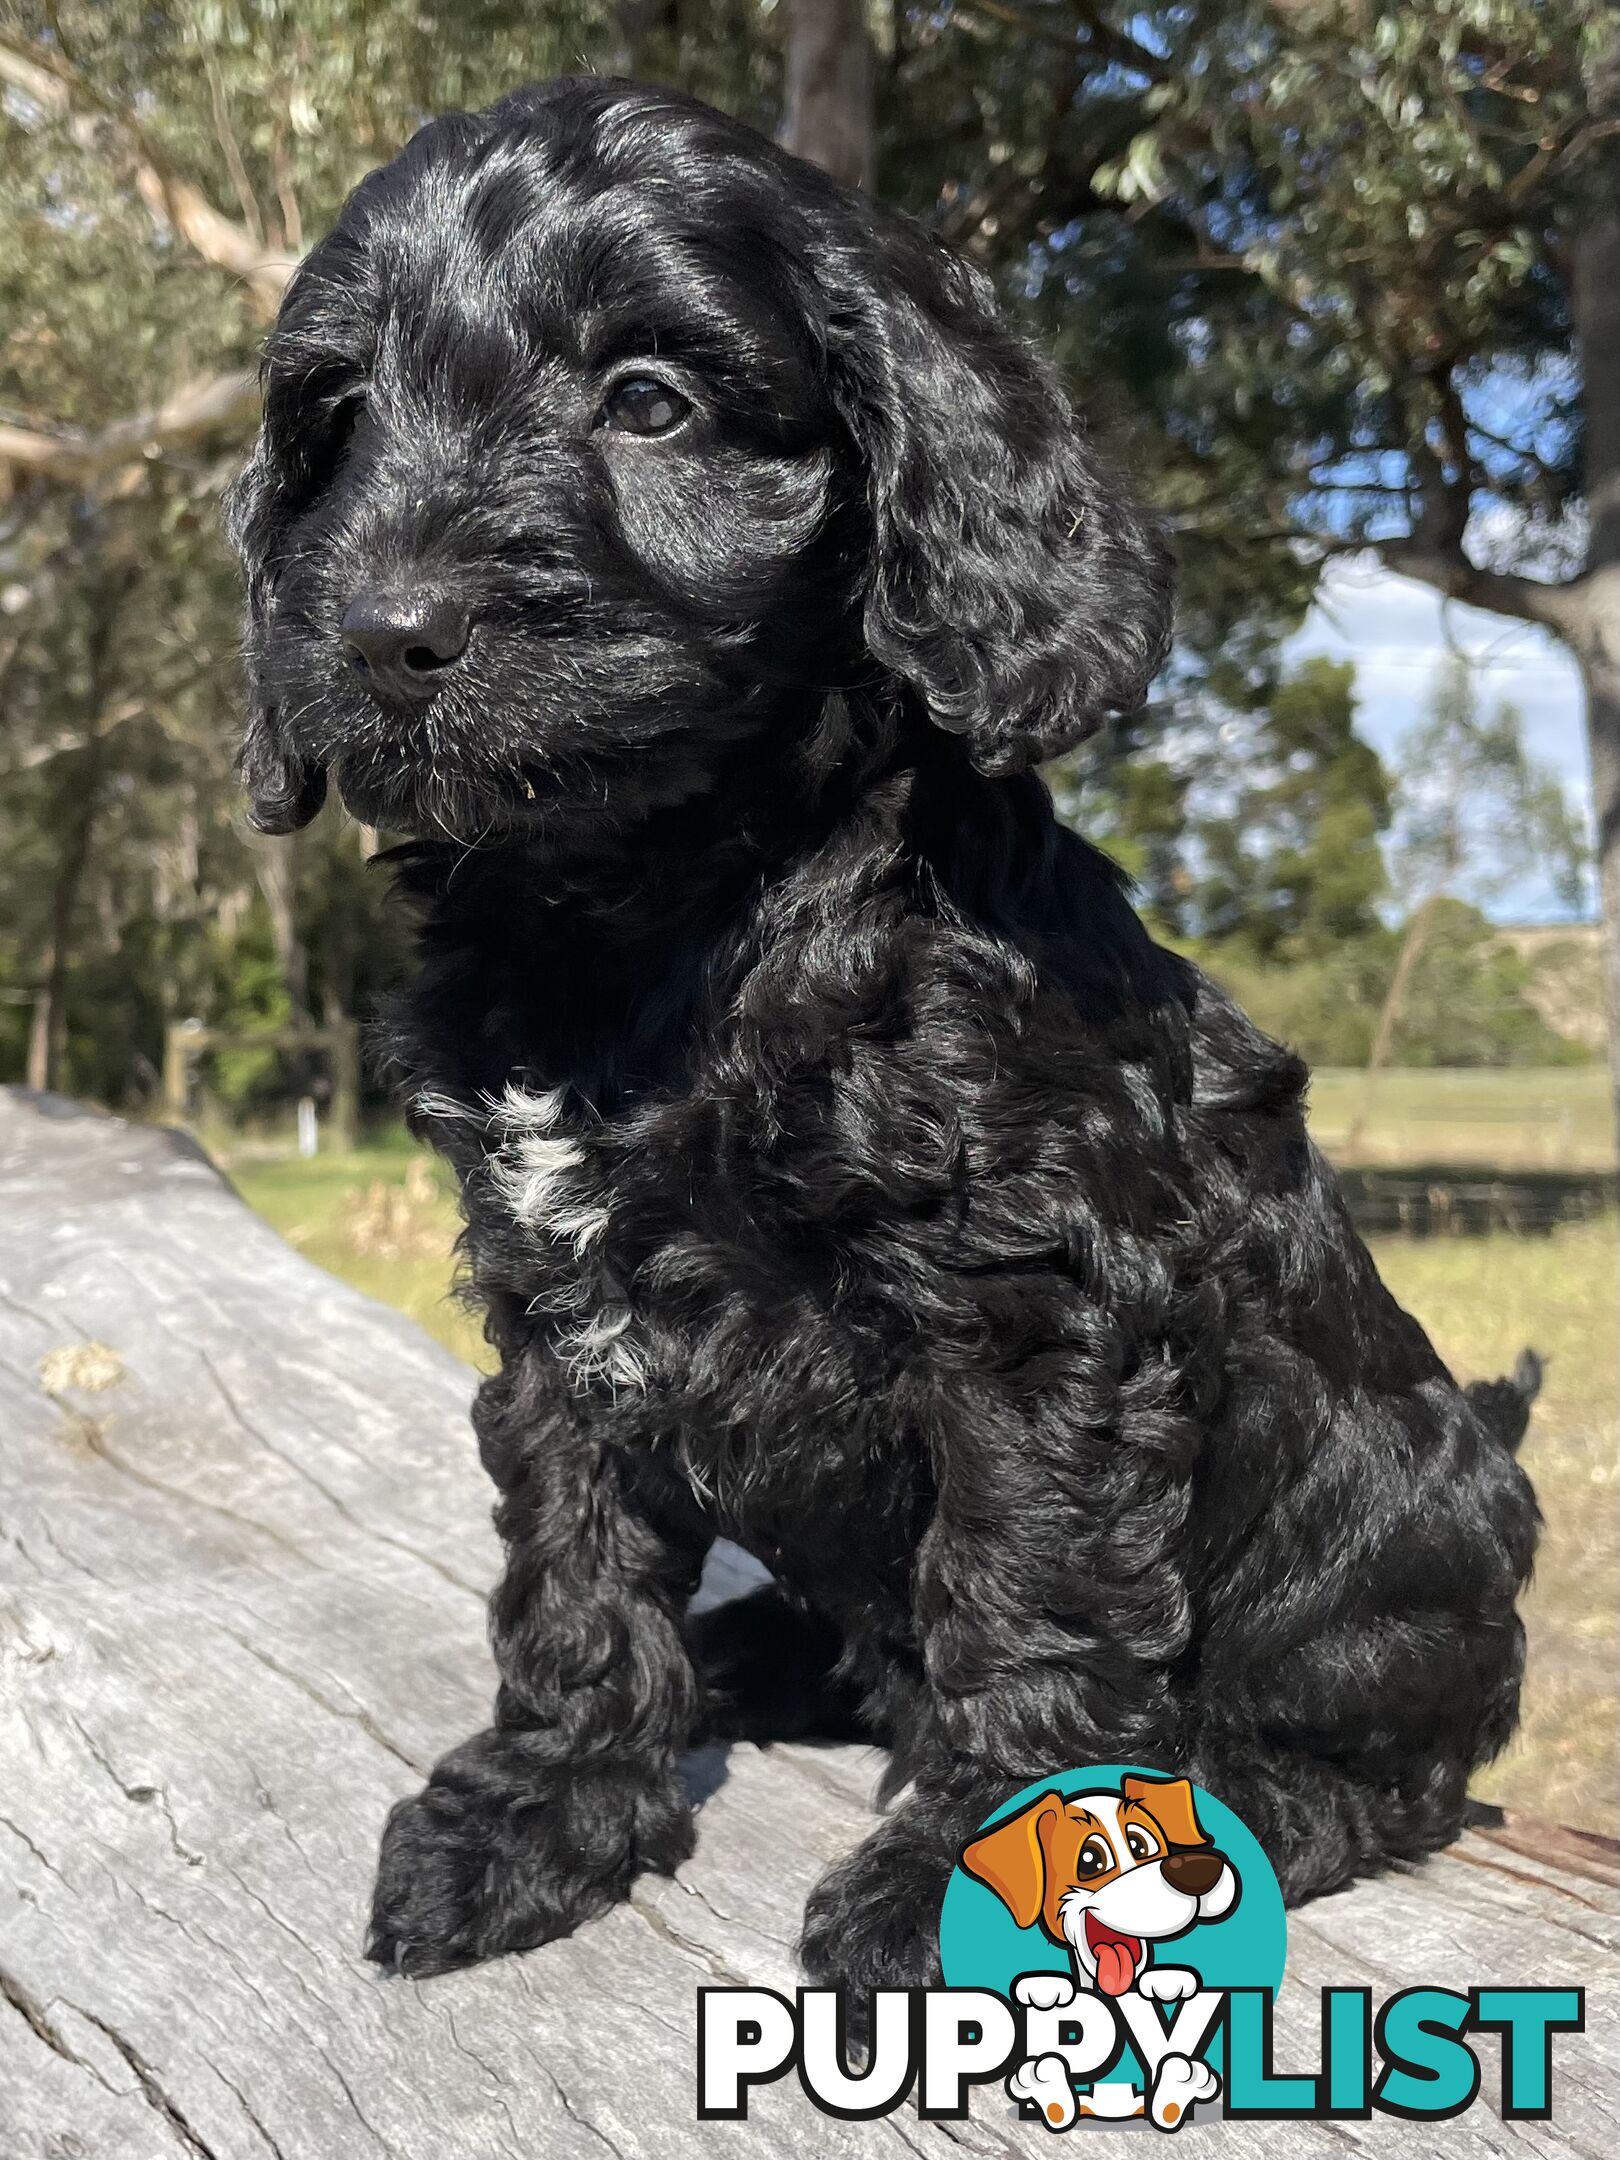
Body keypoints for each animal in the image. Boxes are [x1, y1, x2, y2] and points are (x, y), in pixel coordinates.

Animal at [225, 71, 1537, 1987]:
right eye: (338, 423)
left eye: (648, 402)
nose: (385, 632)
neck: (660, 909)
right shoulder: (554, 1309)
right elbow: (572, 1566)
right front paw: (543, 1808)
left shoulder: (1035, 1311)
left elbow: (1029, 1598)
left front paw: (977, 1879)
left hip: (1390, 1534)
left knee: (1391, 1758)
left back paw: (1247, 1804)